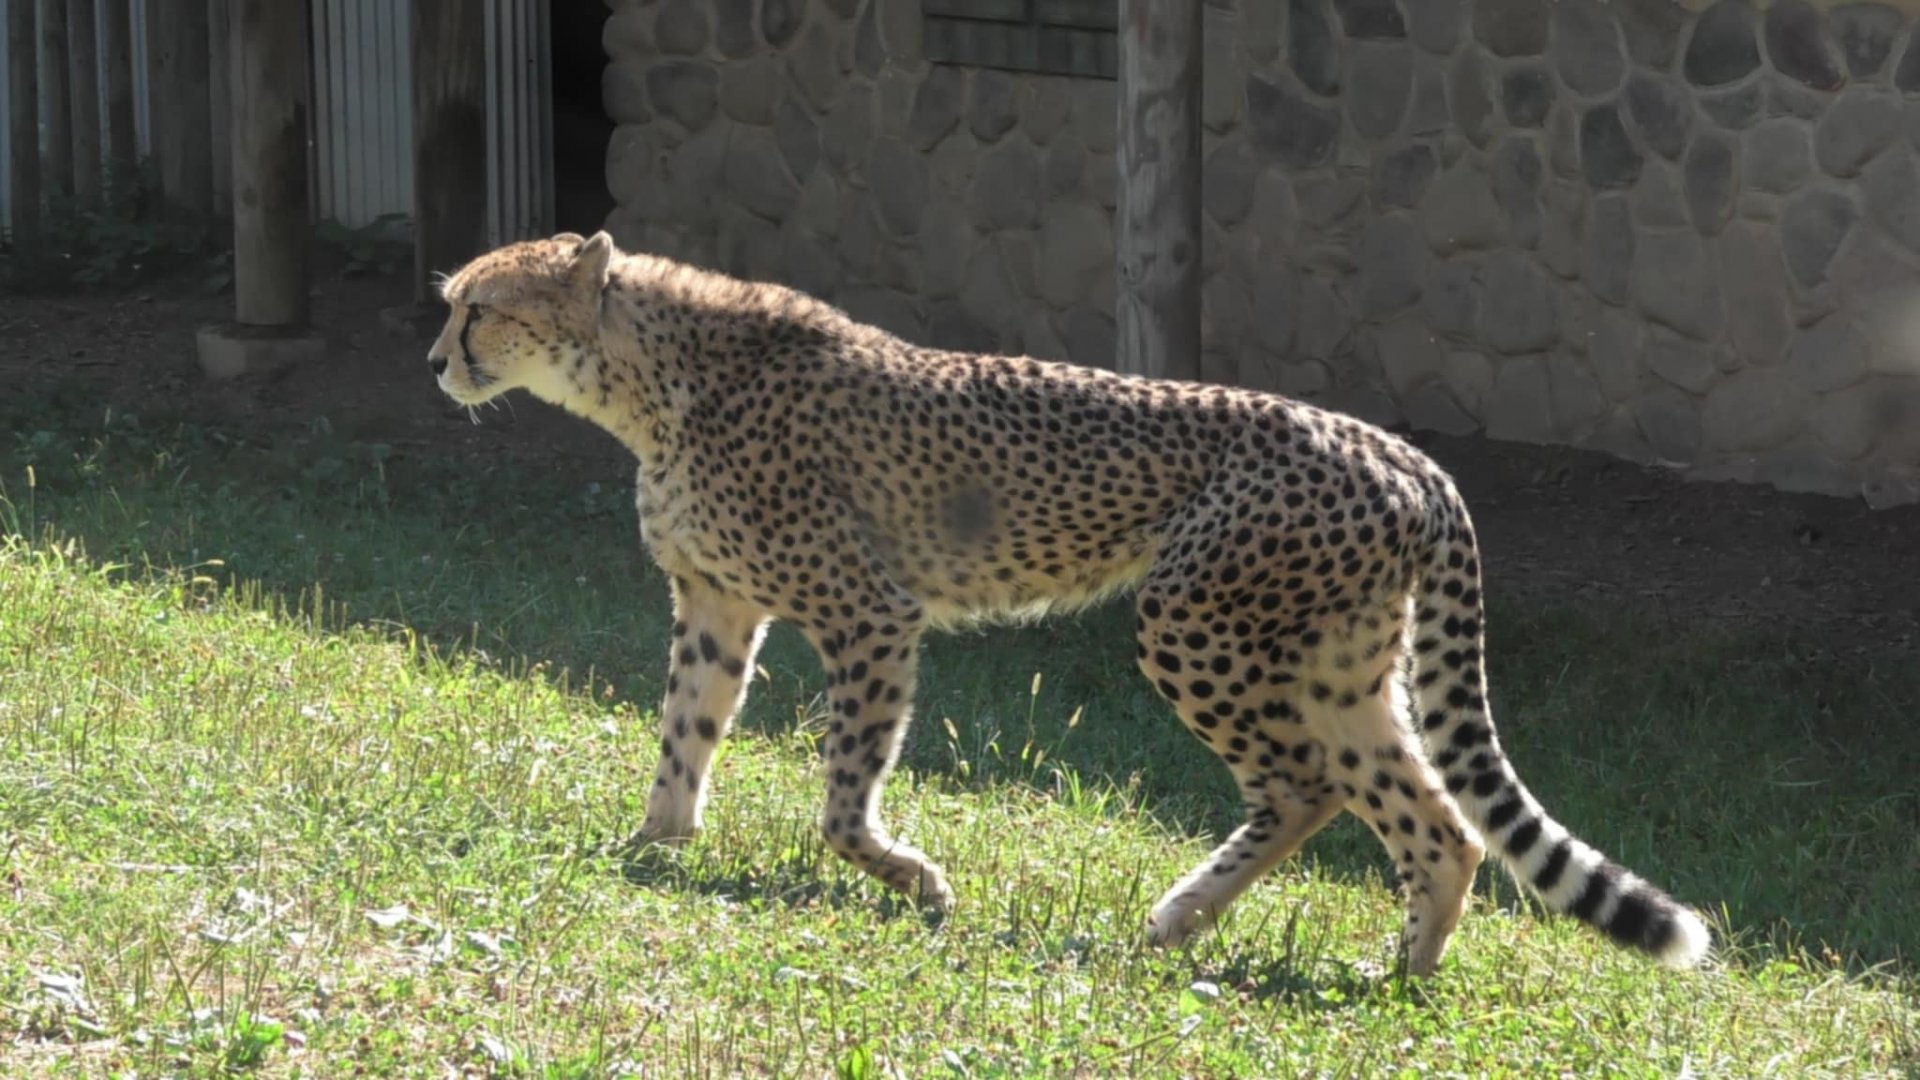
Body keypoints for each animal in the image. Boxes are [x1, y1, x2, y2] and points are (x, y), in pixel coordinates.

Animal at [424, 229, 1712, 977]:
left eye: (478, 307)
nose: (435, 360)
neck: (645, 380)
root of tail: (1400, 449)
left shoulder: (870, 612)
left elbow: (842, 797)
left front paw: (913, 880)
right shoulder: (714, 604)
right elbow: (683, 740)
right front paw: (647, 850)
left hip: (1194, 620)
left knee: (1306, 787)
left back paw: (1212, 928)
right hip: (1338, 662)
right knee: (1432, 817)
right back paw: (1386, 968)